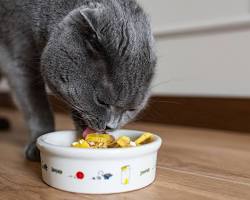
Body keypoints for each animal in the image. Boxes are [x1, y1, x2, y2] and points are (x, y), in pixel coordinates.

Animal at [0, 0, 156, 161]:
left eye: (131, 110)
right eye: (101, 102)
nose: (111, 126)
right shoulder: (19, 57)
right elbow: (37, 107)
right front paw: (37, 145)